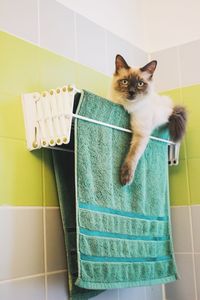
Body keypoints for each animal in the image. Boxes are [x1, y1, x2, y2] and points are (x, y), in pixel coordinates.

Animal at [108, 54, 187, 185]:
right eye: (125, 82)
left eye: (140, 84)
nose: (131, 92)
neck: (128, 107)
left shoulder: (141, 133)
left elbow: (132, 155)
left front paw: (125, 178)